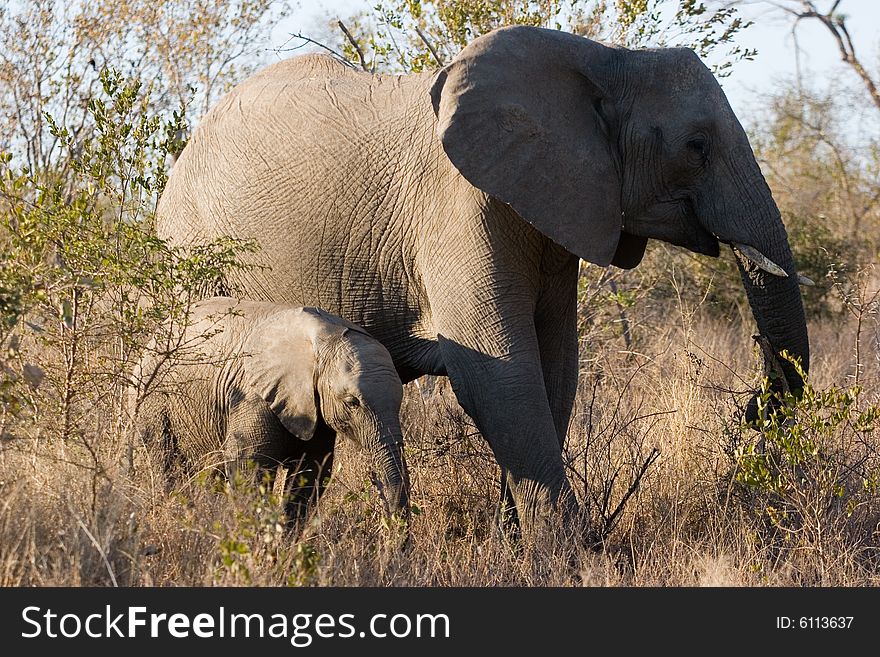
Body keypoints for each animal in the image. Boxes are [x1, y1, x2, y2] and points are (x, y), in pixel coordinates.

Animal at [132, 298, 408, 516]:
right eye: (352, 403)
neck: (327, 337)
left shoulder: (314, 408)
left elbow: (311, 473)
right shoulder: (253, 397)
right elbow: (248, 465)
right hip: (152, 401)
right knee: (165, 462)